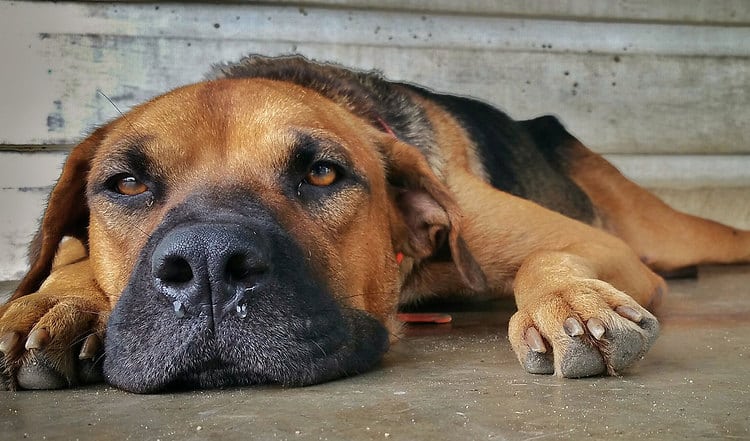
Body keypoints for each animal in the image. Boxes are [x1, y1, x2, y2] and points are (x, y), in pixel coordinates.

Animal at [1, 55, 750, 392]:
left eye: (322, 173)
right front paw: (54, 303)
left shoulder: (600, 244)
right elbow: (65, 259)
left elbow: (549, 259)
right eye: (127, 184)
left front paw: (571, 302)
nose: (210, 265)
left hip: (664, 232)